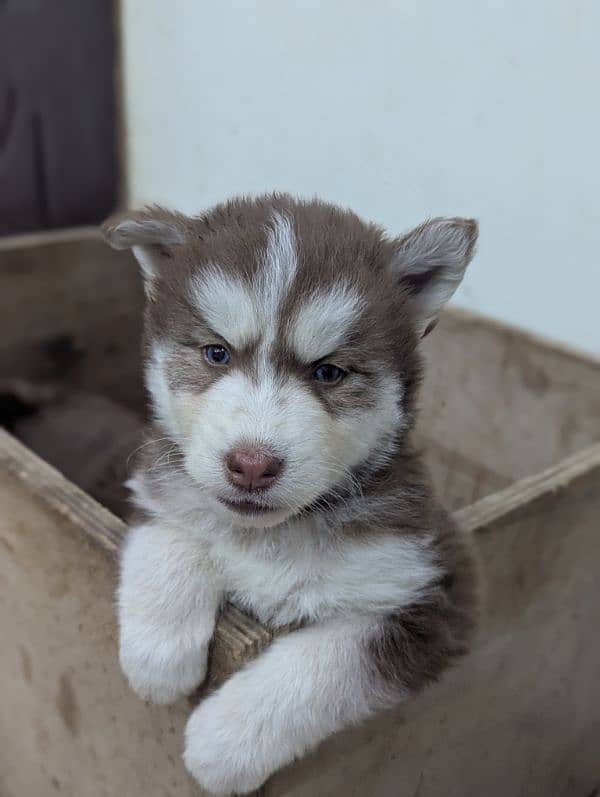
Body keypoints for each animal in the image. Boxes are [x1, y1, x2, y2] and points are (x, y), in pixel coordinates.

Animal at [103, 194, 478, 796]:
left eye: (328, 372)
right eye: (216, 353)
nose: (251, 466)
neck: (271, 536)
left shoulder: (436, 589)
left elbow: (330, 661)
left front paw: (223, 740)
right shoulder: (157, 481)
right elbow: (174, 527)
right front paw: (157, 653)